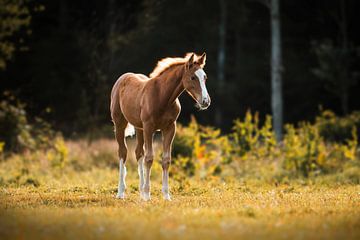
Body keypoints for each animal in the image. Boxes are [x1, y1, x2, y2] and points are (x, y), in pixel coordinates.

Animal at [110, 52, 211, 201]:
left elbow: (166, 160)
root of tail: (123, 77)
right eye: (193, 77)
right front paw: (147, 195)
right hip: (120, 123)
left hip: (139, 128)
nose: (205, 101)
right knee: (123, 152)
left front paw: (166, 195)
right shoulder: (149, 127)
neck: (163, 96)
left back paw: (140, 191)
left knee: (138, 152)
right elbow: (149, 158)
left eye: (205, 77)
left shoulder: (169, 128)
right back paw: (121, 192)